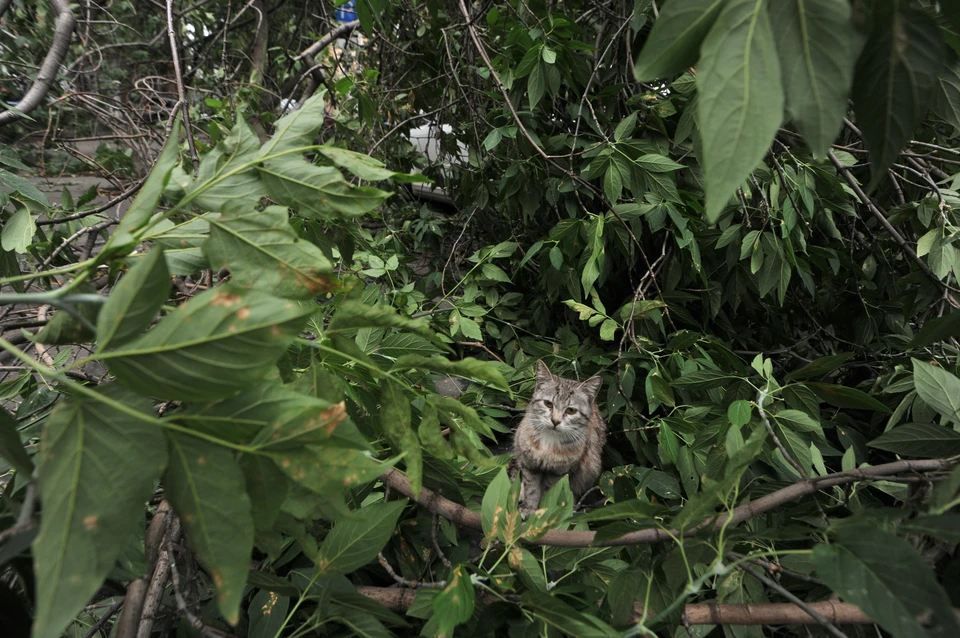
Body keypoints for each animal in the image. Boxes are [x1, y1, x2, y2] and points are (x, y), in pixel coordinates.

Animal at [506, 362, 604, 516]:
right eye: (548, 403)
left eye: (571, 410)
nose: (555, 421)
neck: (549, 441)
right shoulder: (530, 465)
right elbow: (531, 488)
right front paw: (529, 508)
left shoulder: (559, 472)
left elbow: (549, 491)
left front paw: (544, 510)